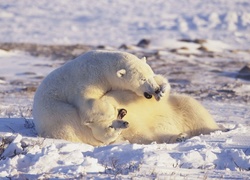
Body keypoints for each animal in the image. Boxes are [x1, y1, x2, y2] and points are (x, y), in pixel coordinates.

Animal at [32, 50, 219, 146]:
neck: (100, 65)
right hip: (58, 114)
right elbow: (89, 105)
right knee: (74, 124)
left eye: (149, 75)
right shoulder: (86, 81)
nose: (154, 90)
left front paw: (162, 89)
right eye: (142, 79)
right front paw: (109, 114)